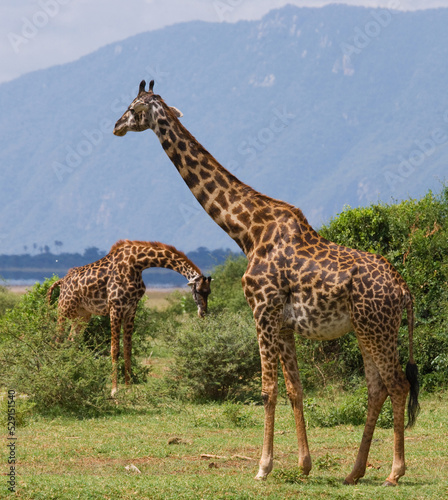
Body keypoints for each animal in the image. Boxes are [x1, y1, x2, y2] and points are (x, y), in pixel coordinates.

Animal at [48, 240, 213, 396]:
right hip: (63, 310)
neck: (137, 264)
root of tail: (61, 281)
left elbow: (128, 349)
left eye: (209, 292)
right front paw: (114, 390)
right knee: (57, 341)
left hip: (83, 315)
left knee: (71, 342)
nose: (203, 313)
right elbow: (114, 349)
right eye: (198, 291)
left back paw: (71, 377)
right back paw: (58, 379)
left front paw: (128, 389)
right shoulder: (115, 308)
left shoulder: (131, 309)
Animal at [113, 81, 420, 484]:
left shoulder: (261, 309)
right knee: (376, 387)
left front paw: (263, 466)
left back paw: (394, 472)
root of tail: (405, 291)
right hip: (366, 329)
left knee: (397, 384)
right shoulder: (285, 322)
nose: (115, 126)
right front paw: (304, 464)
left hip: (377, 328)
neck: (247, 230)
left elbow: (267, 389)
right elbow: (295, 388)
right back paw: (354, 472)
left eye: (134, 107)